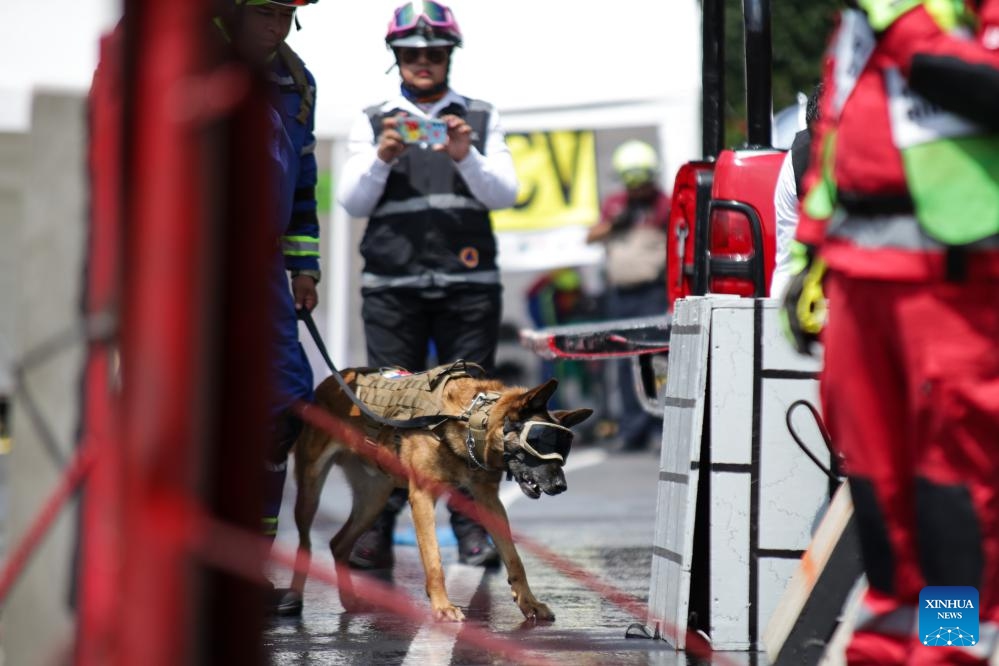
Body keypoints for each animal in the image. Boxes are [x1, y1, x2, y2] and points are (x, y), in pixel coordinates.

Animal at [286, 360, 588, 620]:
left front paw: (529, 603)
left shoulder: (489, 501)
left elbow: (514, 558)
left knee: (338, 544)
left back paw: (349, 601)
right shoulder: (422, 497)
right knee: (305, 544)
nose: (561, 486)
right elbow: (434, 559)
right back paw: (293, 598)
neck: (470, 419)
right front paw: (442, 606)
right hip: (310, 491)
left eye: (563, 449)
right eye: (540, 441)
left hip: (373, 501)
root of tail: (332, 380)